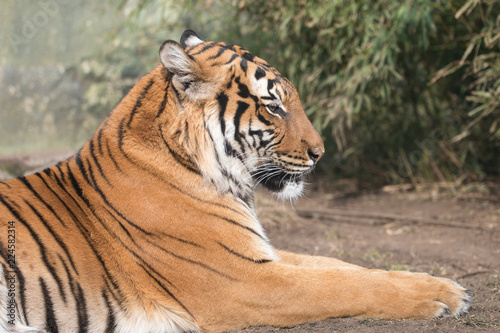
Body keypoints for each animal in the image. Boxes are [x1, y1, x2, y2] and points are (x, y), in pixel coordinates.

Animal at [0, 29, 470, 330]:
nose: (321, 153)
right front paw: (440, 298)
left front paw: (440, 283)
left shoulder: (257, 252)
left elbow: (344, 266)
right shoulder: (245, 279)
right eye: (273, 107)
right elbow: (341, 284)